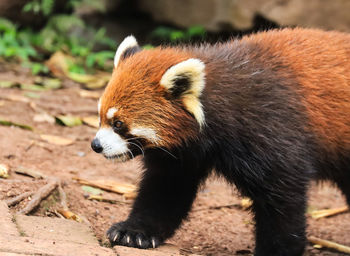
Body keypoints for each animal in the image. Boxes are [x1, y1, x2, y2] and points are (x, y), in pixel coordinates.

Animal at [91, 29, 350, 256]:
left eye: (118, 124)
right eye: (100, 117)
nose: (96, 145)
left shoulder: (272, 129)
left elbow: (283, 199)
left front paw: (277, 250)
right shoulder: (182, 155)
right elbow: (165, 189)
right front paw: (134, 232)